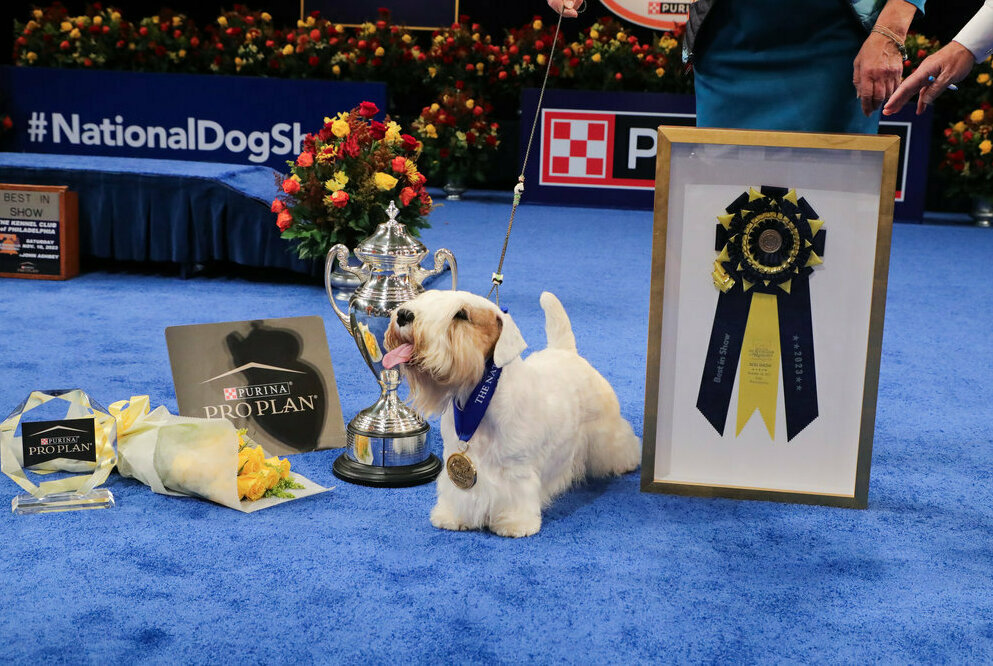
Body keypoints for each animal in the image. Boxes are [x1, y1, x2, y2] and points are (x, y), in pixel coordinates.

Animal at [384, 290, 640, 536]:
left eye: (461, 314)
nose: (403, 315)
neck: (478, 399)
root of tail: (566, 351)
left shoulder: (516, 468)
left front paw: (515, 524)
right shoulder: (455, 457)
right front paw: (452, 517)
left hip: (605, 430)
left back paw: (628, 462)